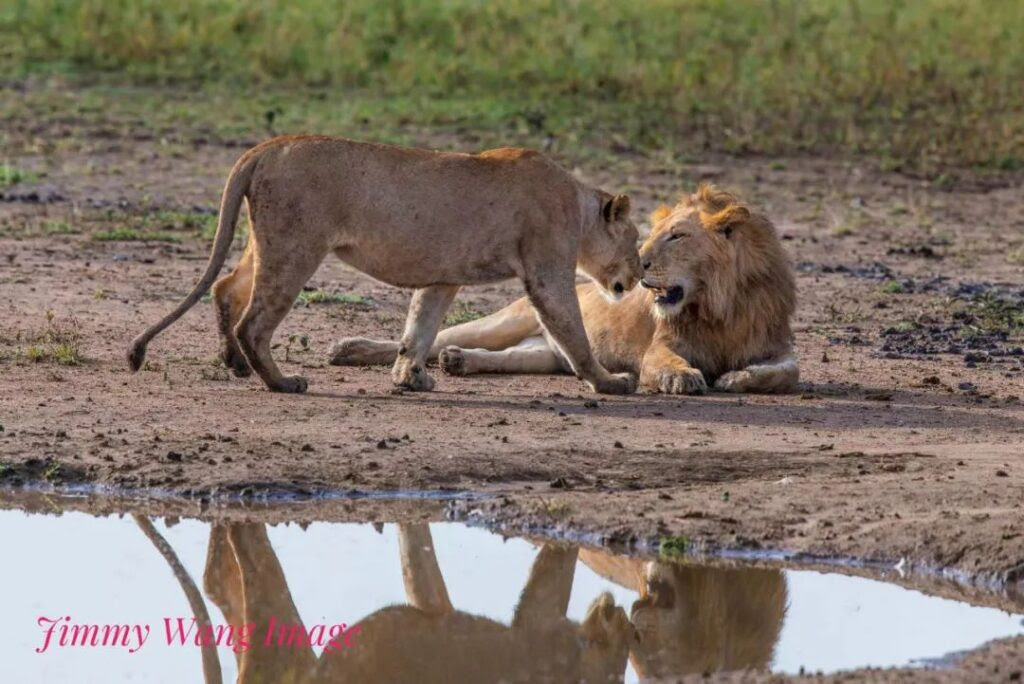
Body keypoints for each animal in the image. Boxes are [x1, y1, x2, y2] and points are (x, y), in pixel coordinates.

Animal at [128, 136, 638, 393]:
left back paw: (233, 364)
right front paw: (609, 382)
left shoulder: (443, 277)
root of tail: (268, 146)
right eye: (635, 240)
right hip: (296, 247)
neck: (578, 205)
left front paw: (410, 377)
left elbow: (420, 326)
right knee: (254, 322)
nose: (639, 278)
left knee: (226, 288)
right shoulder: (547, 271)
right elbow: (573, 334)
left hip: (266, 242)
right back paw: (282, 382)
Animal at [331, 184, 794, 393]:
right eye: (652, 234)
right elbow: (666, 362)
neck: (722, 303)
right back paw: (351, 348)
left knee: (511, 358)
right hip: (506, 320)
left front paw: (737, 377)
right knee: (434, 337)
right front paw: (684, 378)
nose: (640, 263)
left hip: (546, 352)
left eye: (677, 236)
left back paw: (459, 361)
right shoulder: (657, 348)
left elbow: (786, 373)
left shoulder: (778, 346)